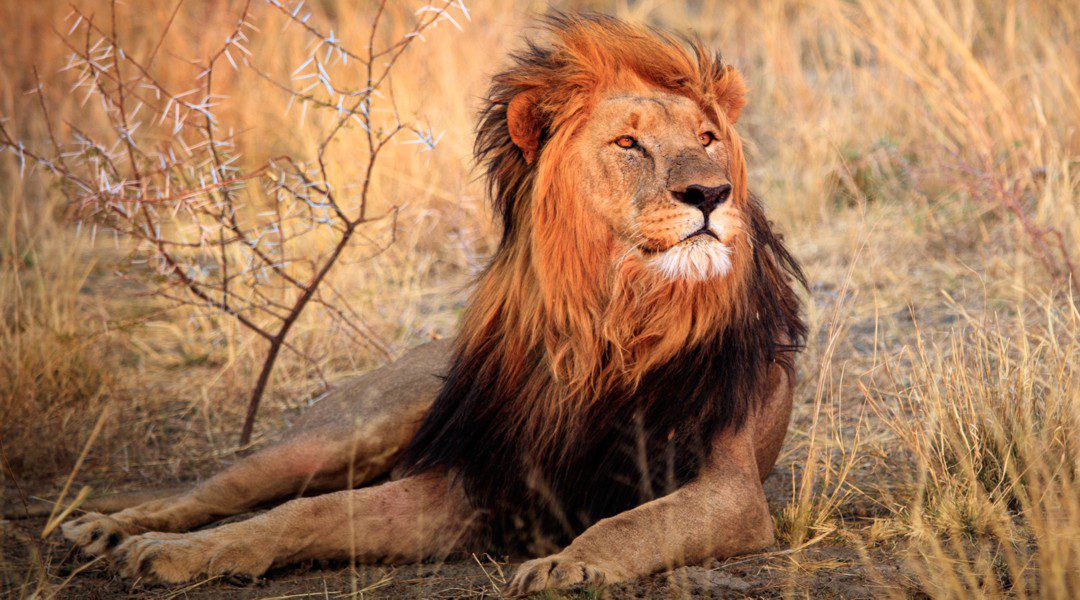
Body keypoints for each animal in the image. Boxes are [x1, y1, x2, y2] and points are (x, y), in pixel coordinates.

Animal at [59, 14, 806, 595]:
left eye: (708, 138)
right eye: (628, 143)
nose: (710, 194)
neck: (612, 319)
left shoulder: (731, 489)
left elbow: (632, 522)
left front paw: (565, 566)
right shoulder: (473, 483)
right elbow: (306, 516)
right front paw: (181, 554)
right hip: (346, 431)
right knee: (213, 491)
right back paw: (108, 531)